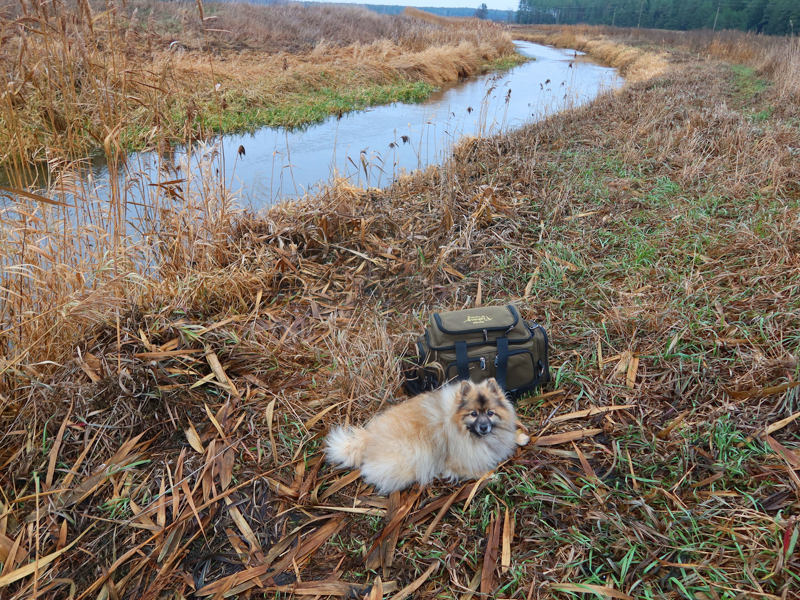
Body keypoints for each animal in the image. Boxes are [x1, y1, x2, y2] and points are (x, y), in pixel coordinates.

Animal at [322, 378, 528, 494]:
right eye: (474, 414)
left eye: (490, 413)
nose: (484, 427)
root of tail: (368, 438)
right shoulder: (458, 461)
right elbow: (478, 468)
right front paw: (493, 475)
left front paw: (520, 437)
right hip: (412, 454)